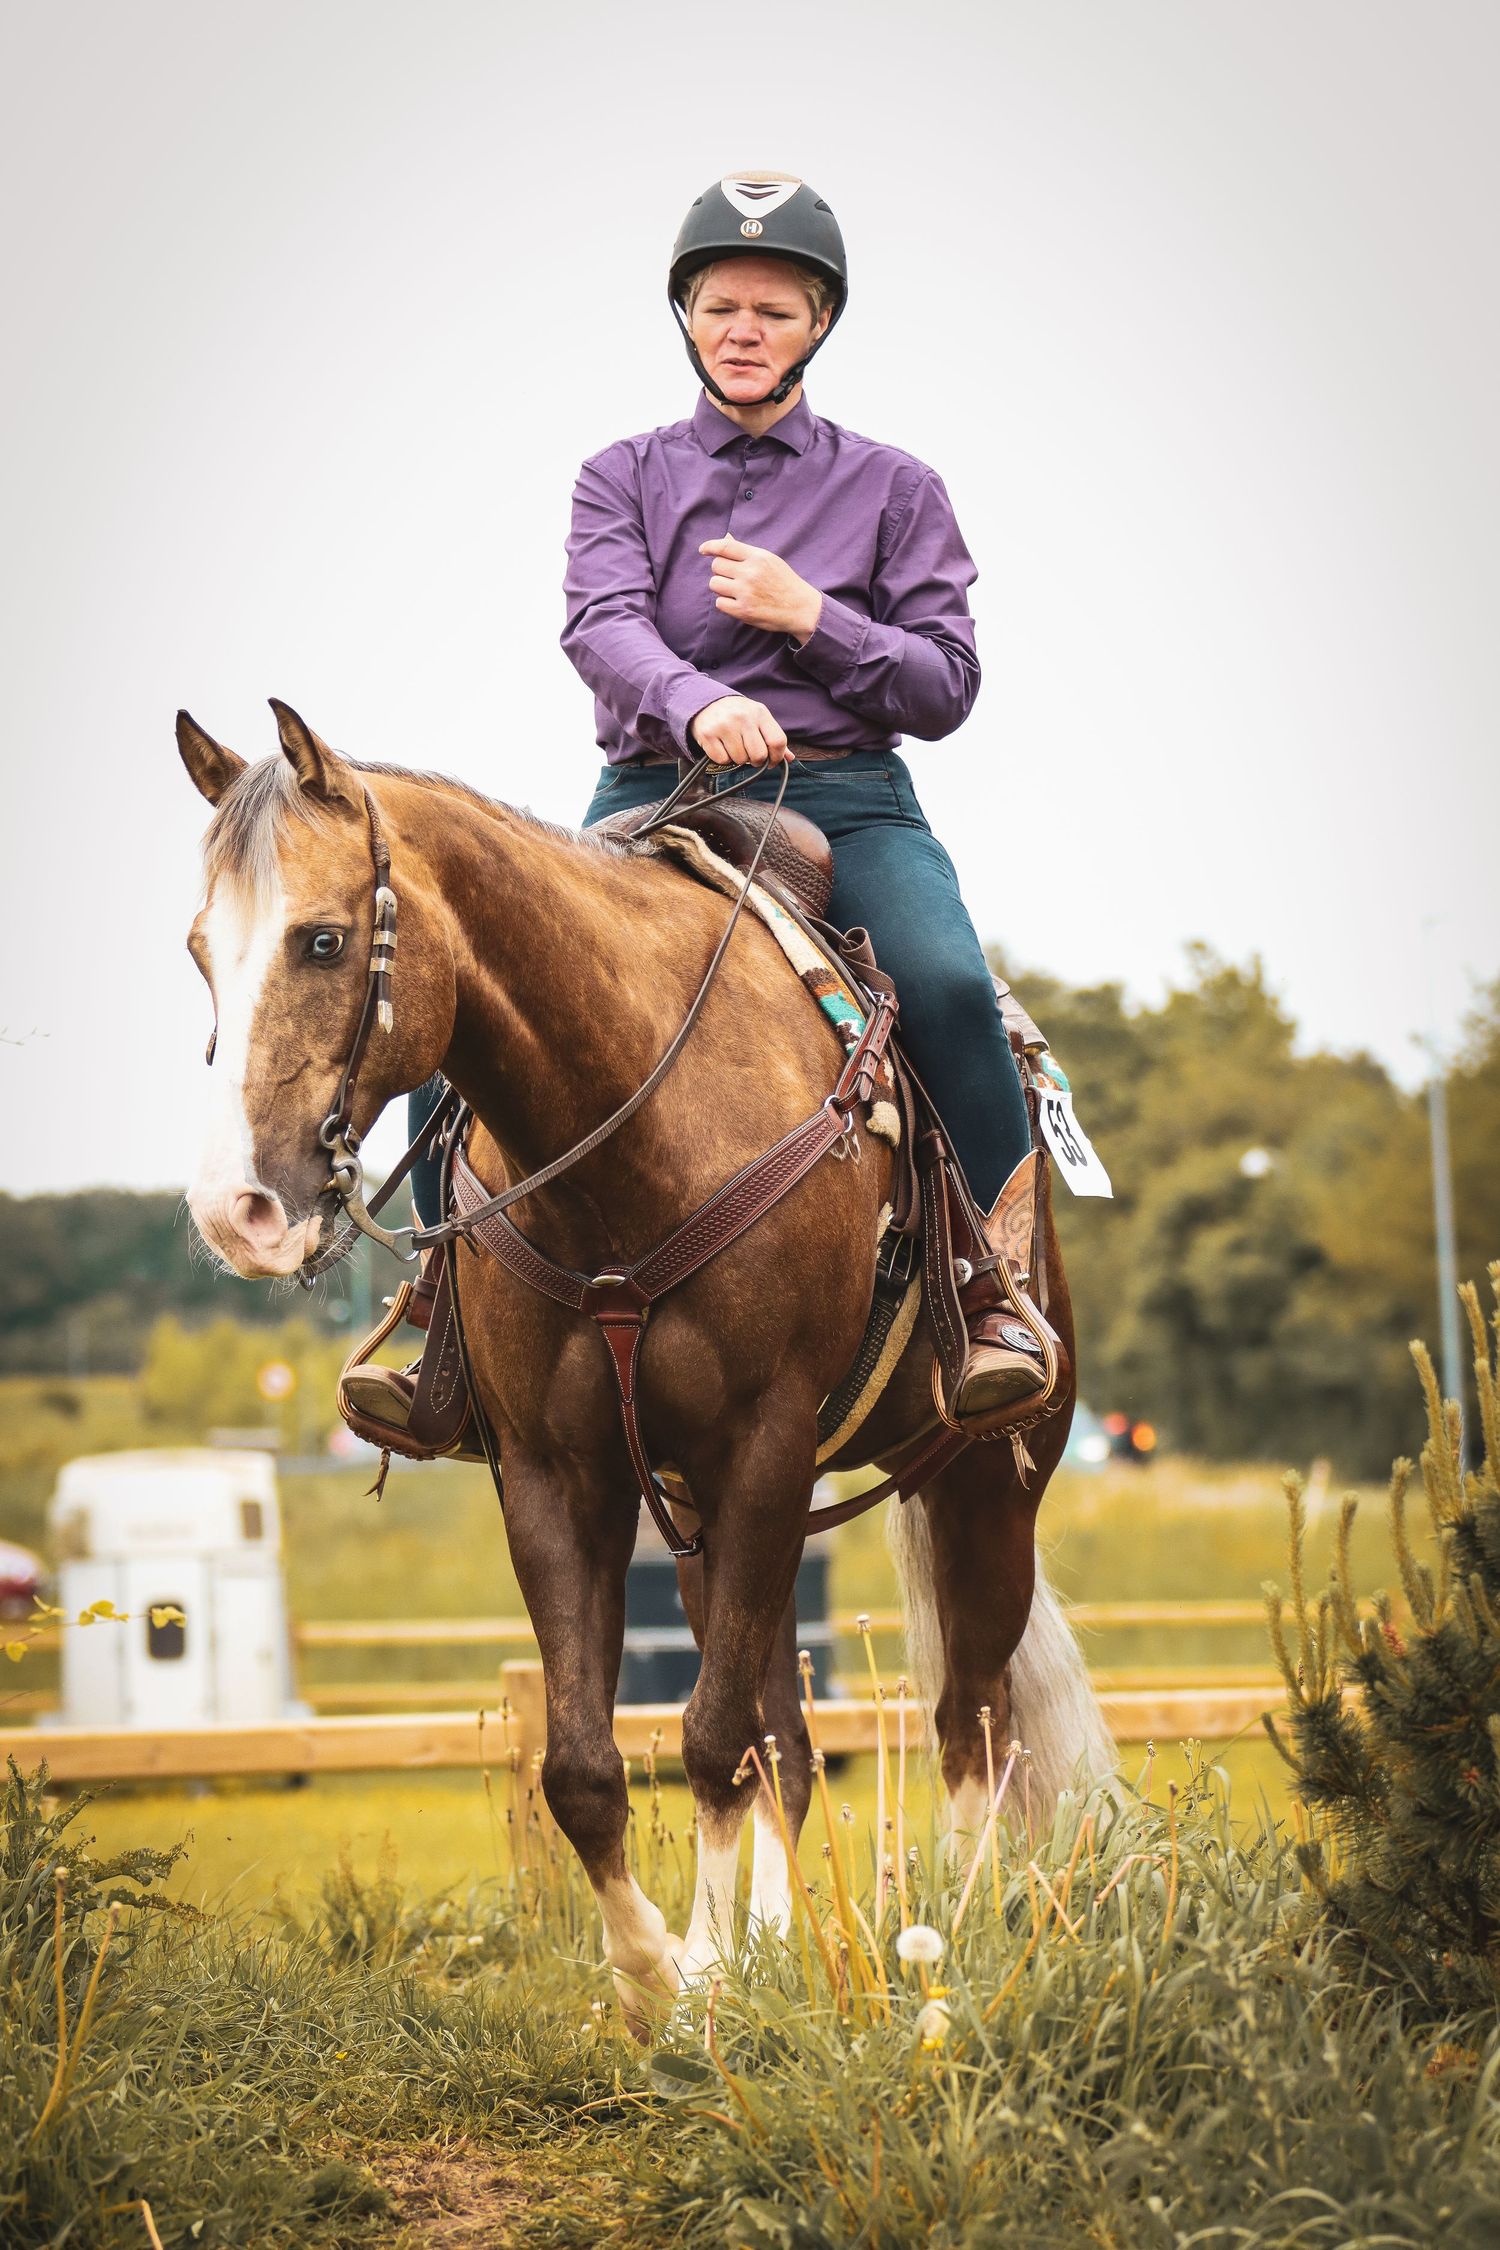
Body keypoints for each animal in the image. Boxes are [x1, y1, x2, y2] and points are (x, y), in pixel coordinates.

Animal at [177, 699, 1113, 2028]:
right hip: (717, 1518)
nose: (236, 1212)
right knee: (790, 1734)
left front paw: (704, 1979)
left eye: (321, 940)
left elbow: (713, 1741)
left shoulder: (763, 1445)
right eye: (201, 949)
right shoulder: (557, 1474)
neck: (630, 1122)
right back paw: (781, 1947)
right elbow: (590, 1764)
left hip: (984, 1481)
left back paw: (963, 1935)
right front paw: (658, 1976)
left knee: (970, 1722)